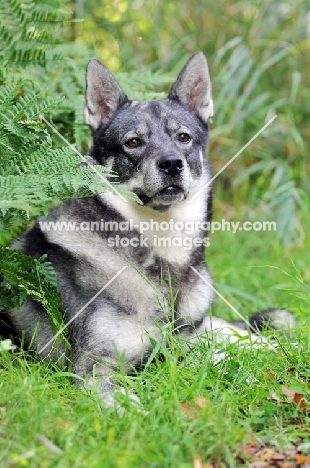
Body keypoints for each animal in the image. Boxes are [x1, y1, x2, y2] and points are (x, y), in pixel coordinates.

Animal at [0, 52, 296, 406]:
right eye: (133, 142)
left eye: (183, 137)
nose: (171, 164)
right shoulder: (95, 370)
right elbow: (134, 405)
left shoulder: (184, 341)